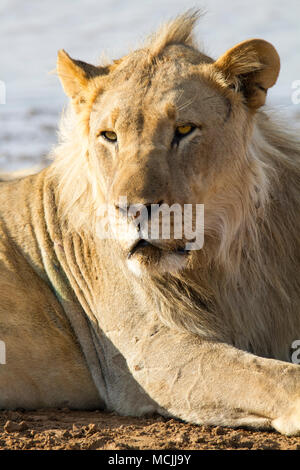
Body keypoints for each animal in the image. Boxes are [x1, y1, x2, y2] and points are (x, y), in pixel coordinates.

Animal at [0, 11, 300, 436]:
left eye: (185, 130)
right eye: (109, 136)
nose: (132, 211)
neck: (228, 261)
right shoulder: (151, 350)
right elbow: (271, 376)